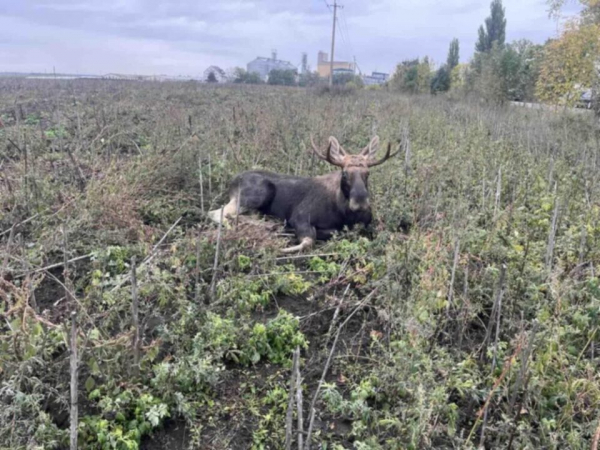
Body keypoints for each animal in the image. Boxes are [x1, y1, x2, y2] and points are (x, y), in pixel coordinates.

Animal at [209, 135, 400, 251]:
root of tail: (233, 180)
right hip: (257, 193)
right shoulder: (300, 217)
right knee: (217, 213)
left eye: (367, 173)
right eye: (345, 173)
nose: (360, 202)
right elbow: (309, 241)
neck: (344, 213)